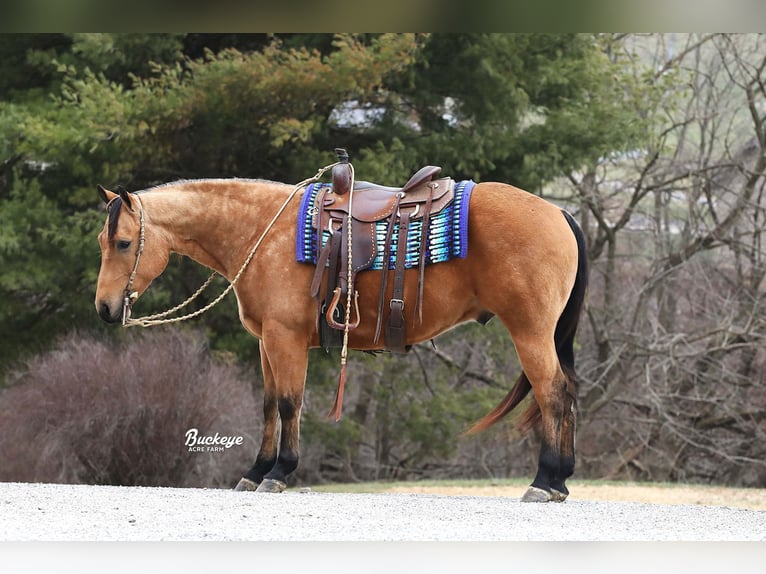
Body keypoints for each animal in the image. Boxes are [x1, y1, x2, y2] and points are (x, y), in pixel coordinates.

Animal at [94, 161, 588, 504]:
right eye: (103, 242)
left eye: (123, 242)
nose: (104, 308)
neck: (261, 230)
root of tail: (558, 212)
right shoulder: (265, 343)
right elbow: (269, 406)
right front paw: (255, 472)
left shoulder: (286, 339)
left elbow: (290, 404)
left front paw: (279, 473)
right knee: (565, 393)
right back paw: (560, 481)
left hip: (530, 333)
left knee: (552, 393)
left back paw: (545, 480)